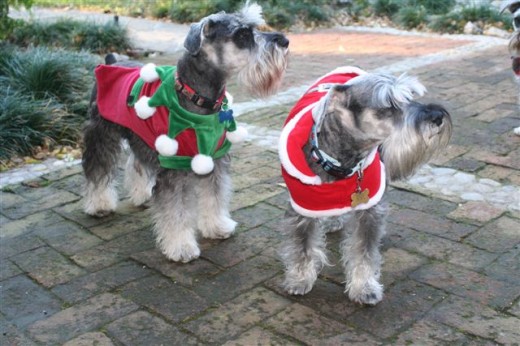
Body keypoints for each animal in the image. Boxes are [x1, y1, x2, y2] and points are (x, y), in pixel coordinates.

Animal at [83, 2, 290, 262]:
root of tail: (110, 60)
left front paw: (217, 226)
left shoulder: (214, 159)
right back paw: (99, 204)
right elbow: (176, 211)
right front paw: (181, 247)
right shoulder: (173, 166)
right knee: (98, 168)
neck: (197, 98)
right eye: (242, 35)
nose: (285, 41)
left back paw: (142, 194)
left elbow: (214, 196)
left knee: (137, 162)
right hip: (101, 133)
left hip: (142, 136)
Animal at [278, 66, 452, 304]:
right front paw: (300, 279)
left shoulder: (370, 210)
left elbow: (364, 252)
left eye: (410, 96)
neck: (342, 163)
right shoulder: (301, 209)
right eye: (388, 105)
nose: (437, 116)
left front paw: (364, 287)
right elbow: (301, 246)